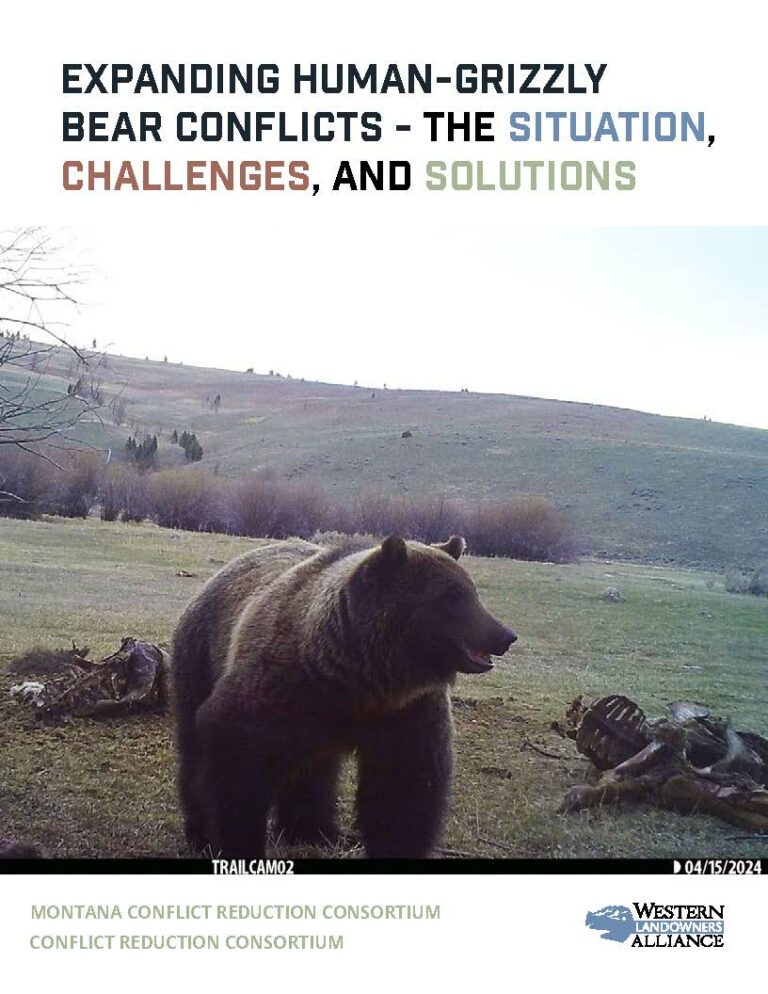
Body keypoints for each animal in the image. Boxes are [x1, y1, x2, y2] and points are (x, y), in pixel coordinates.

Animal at [171, 534, 517, 859]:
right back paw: (201, 834)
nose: (504, 635)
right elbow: (234, 763)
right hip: (200, 655)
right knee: (194, 751)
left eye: (473, 592)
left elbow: (404, 787)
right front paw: (235, 843)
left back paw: (313, 831)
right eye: (450, 596)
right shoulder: (272, 689)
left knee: (315, 772)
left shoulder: (406, 711)